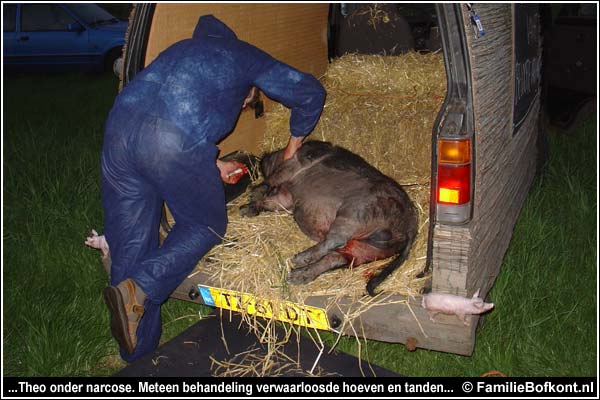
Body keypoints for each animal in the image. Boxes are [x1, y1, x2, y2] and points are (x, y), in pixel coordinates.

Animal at [239, 141, 418, 296]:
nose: (264, 156)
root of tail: (411, 225)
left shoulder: (294, 164)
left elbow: (272, 180)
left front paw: (252, 194)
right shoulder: (287, 198)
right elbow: (272, 202)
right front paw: (244, 210)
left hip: (357, 212)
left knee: (336, 241)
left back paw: (299, 259)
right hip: (370, 248)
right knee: (337, 257)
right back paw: (296, 276)